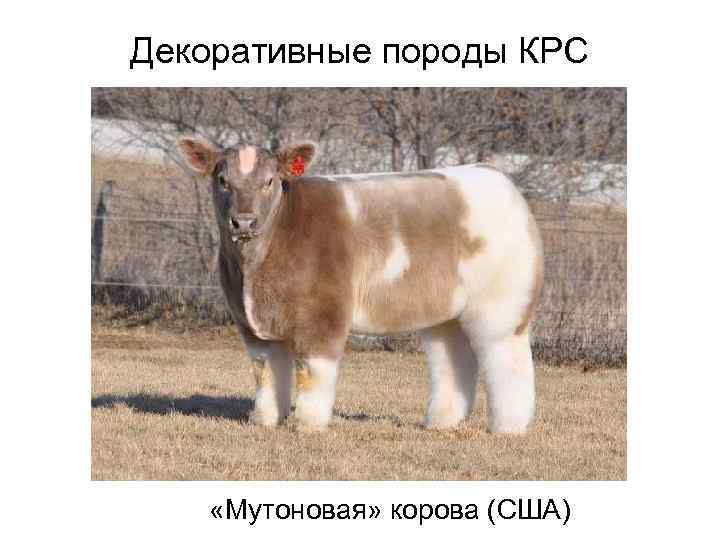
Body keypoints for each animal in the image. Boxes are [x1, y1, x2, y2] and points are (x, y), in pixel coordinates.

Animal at [177, 137, 543, 433]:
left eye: (269, 181)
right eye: (222, 180)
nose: (244, 222)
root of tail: (499, 179)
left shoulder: (324, 315)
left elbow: (312, 373)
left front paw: (307, 425)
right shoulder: (252, 325)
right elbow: (265, 374)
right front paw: (265, 421)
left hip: (501, 308)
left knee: (507, 363)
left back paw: (509, 427)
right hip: (447, 313)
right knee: (452, 359)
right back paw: (441, 422)